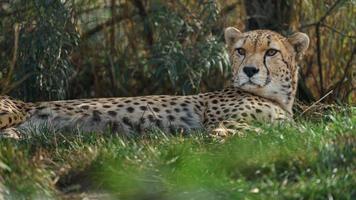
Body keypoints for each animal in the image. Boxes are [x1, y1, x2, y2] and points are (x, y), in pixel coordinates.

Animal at [0, 27, 308, 137]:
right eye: (241, 51)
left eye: (271, 52)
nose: (250, 71)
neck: (276, 98)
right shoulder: (225, 124)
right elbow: (260, 132)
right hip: (9, 112)